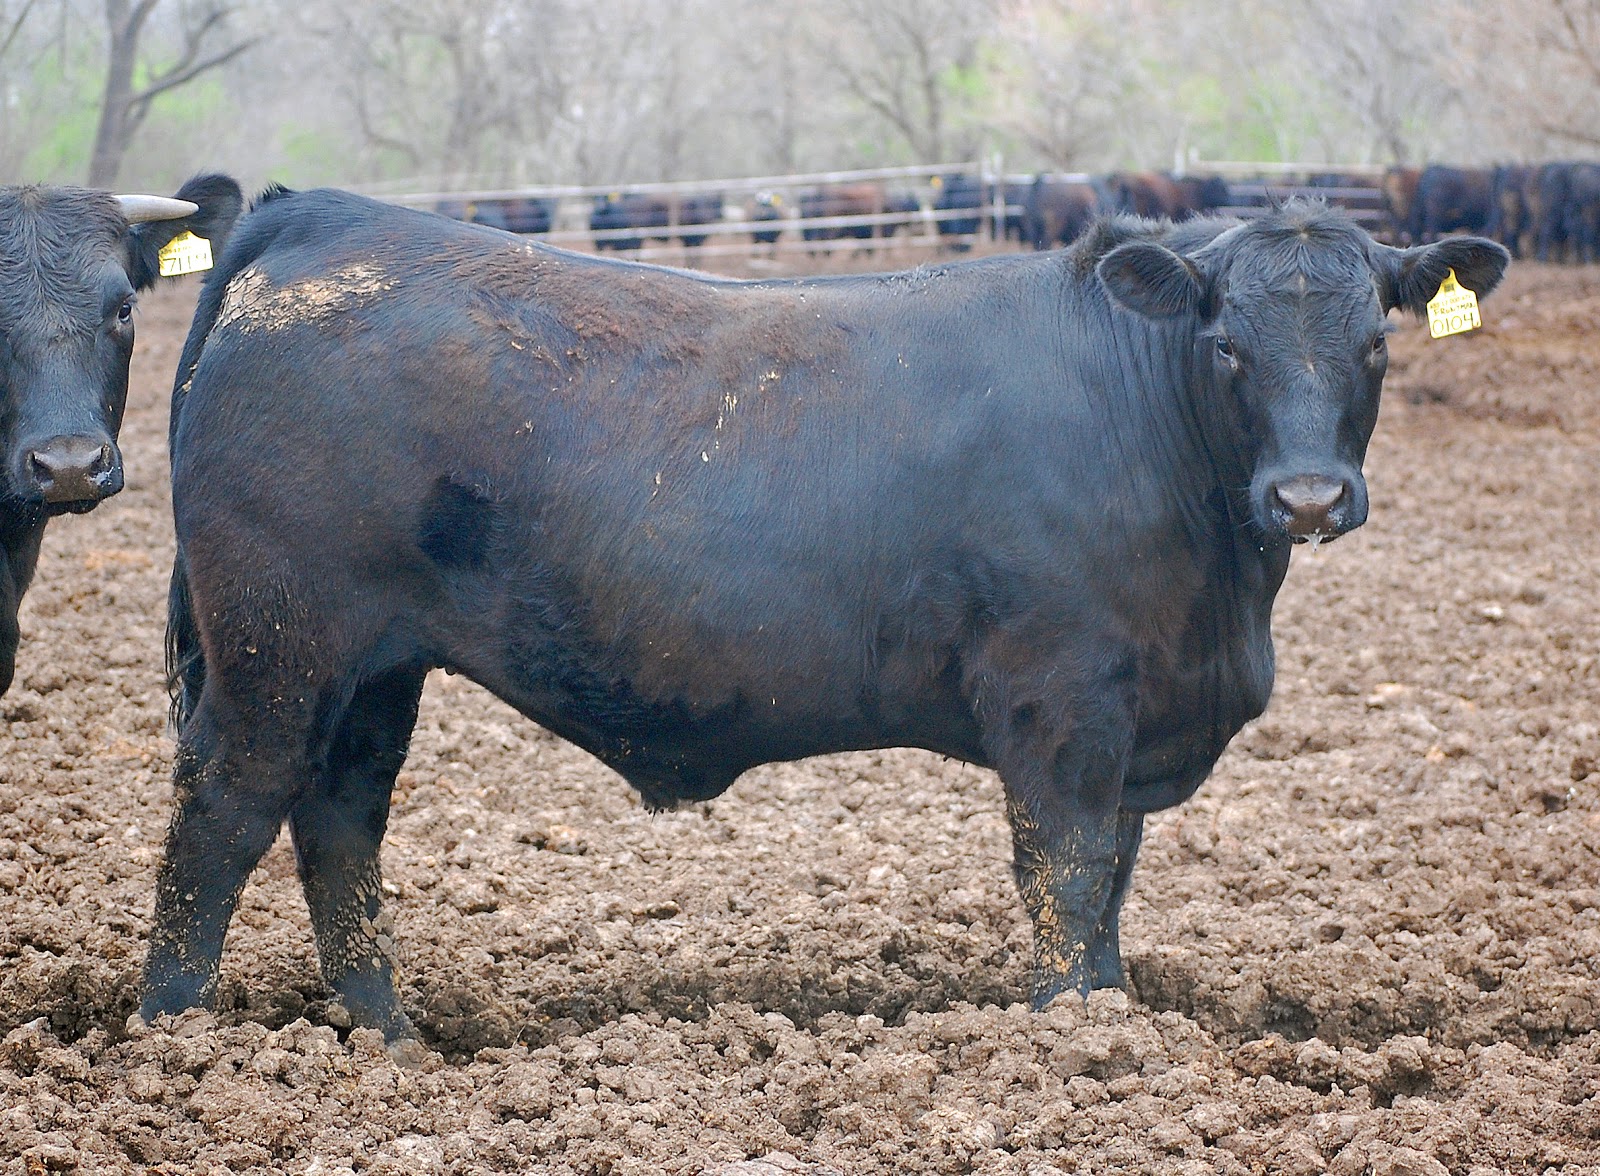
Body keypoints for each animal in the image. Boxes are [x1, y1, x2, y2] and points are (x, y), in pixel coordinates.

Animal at [140, 188, 1508, 1041]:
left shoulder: (1130, 719)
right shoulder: (1060, 701)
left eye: (1375, 343)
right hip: (277, 643)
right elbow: (1066, 879)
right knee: (227, 812)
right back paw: (170, 1035)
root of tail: (323, 219)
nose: (1307, 495)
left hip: (373, 669)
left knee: (340, 821)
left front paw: (1115, 1019)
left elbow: (1112, 883)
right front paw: (1074, 1038)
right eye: (1228, 346)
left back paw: (392, 1039)